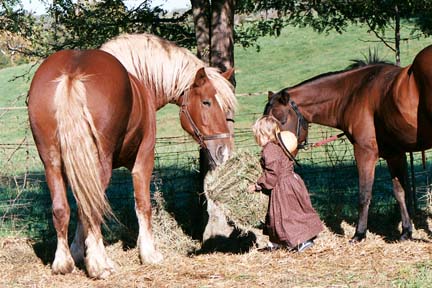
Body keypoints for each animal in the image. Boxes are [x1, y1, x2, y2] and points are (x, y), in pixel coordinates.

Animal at [27, 32, 236, 278]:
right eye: (206, 102)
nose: (224, 150)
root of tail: (72, 74)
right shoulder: (143, 159)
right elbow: (143, 205)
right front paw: (149, 254)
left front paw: (78, 251)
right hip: (99, 165)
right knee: (93, 208)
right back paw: (100, 265)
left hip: (51, 164)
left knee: (63, 208)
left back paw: (63, 262)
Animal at [264, 44, 432, 243]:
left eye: (281, 120)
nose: (272, 153)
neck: (356, 92)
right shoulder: (394, 154)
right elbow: (400, 192)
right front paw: (406, 231)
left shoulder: (364, 152)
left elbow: (364, 194)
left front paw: (359, 233)